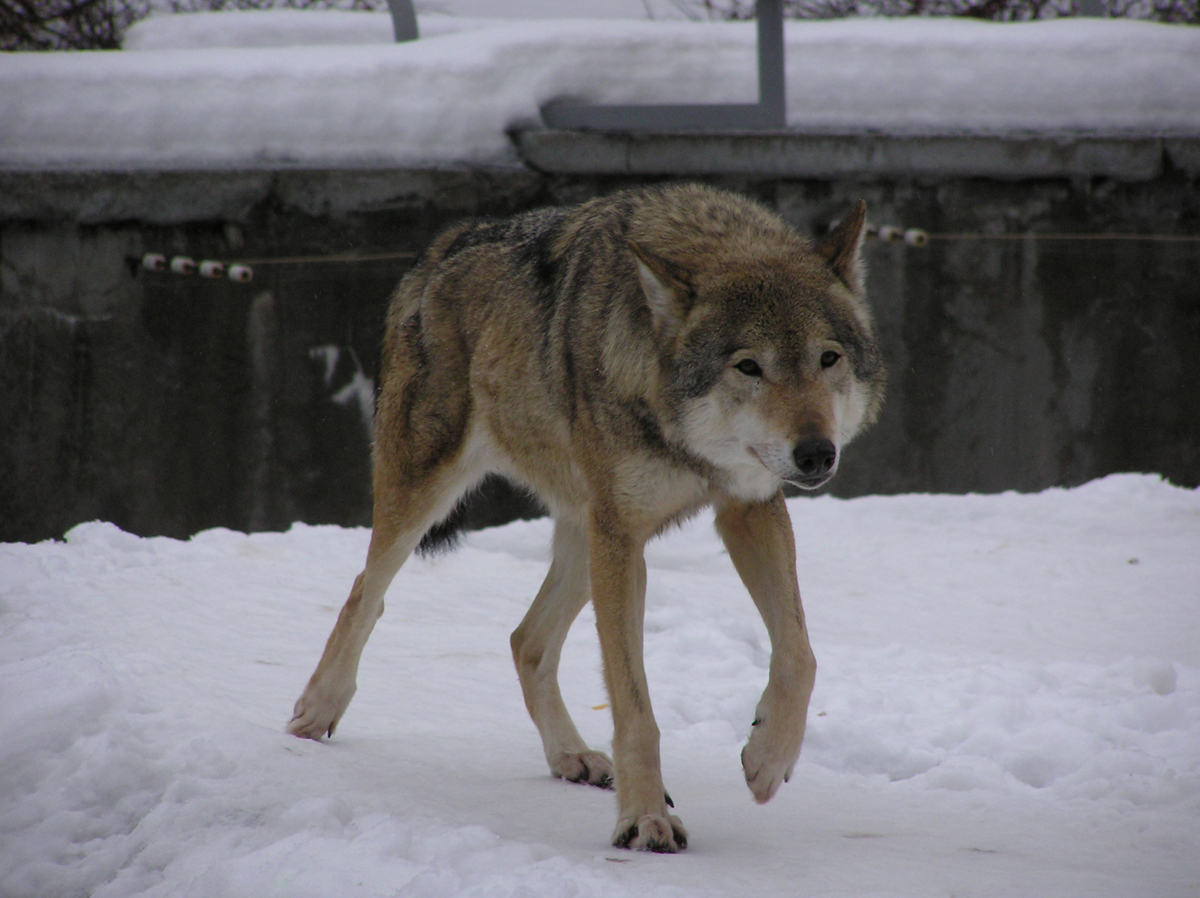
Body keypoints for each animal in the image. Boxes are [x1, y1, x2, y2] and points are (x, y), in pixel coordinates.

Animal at [288, 183, 885, 852]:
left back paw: (570, 755)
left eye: (828, 358)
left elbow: (800, 655)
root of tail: (442, 245)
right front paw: (646, 819)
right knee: (366, 591)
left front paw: (766, 761)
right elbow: (635, 707)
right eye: (748, 366)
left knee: (526, 639)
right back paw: (318, 710)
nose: (816, 453)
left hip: (588, 537)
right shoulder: (623, 535)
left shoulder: (747, 506)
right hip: (436, 492)